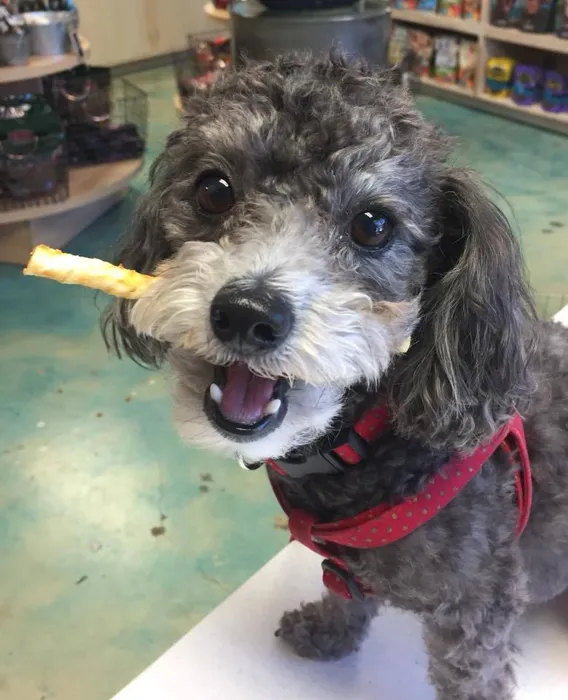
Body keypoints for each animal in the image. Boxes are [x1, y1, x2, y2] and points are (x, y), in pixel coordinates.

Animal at [102, 53, 568, 700]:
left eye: (374, 224)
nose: (247, 314)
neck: (367, 442)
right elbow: (344, 594)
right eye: (213, 190)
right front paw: (329, 630)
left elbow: (472, 674)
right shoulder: (347, 567)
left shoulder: (479, 603)